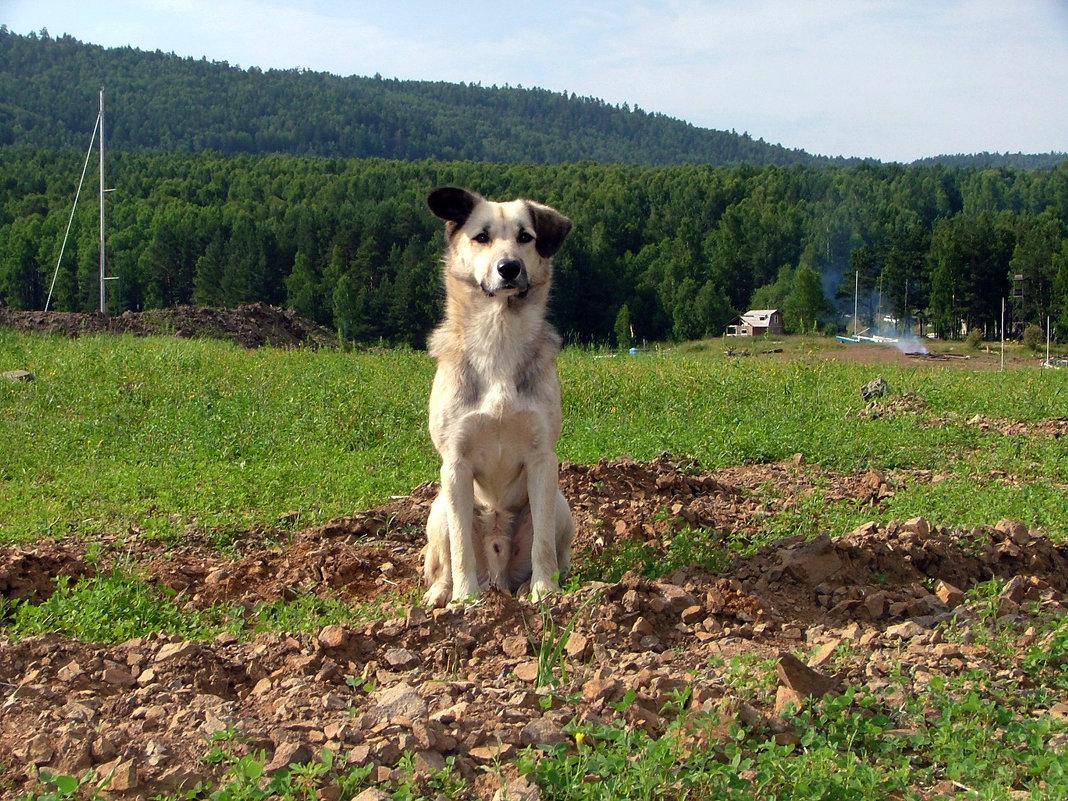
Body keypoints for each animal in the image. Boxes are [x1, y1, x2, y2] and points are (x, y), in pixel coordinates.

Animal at [422, 183, 580, 606]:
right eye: (482, 237)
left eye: (526, 237)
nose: (508, 268)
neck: (499, 336)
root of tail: (498, 575)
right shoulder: (455, 463)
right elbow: (460, 547)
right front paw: (465, 599)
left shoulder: (542, 460)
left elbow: (542, 543)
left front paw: (544, 590)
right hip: (437, 509)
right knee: (441, 560)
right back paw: (442, 595)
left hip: (561, 506)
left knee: (554, 549)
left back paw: (532, 584)